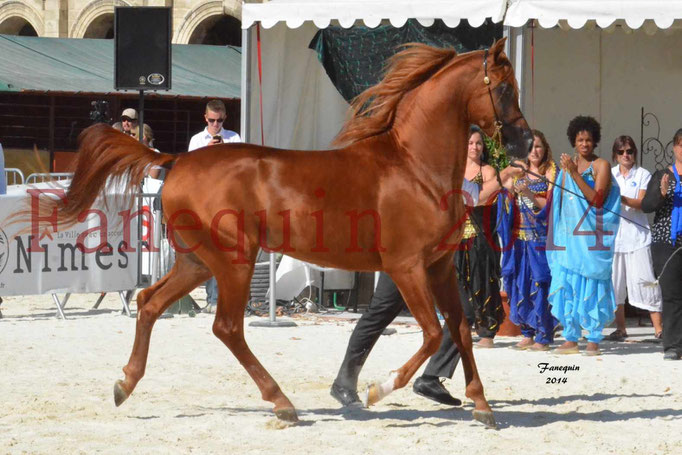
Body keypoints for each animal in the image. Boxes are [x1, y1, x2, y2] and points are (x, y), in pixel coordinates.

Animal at [46, 37, 532, 430]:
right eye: (504, 88)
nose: (526, 143)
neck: (413, 166)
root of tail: (175, 160)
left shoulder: (440, 266)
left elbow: (461, 328)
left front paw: (482, 406)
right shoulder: (406, 266)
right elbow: (432, 332)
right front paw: (377, 389)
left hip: (197, 261)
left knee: (149, 302)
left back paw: (124, 384)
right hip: (234, 261)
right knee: (227, 327)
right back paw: (282, 403)